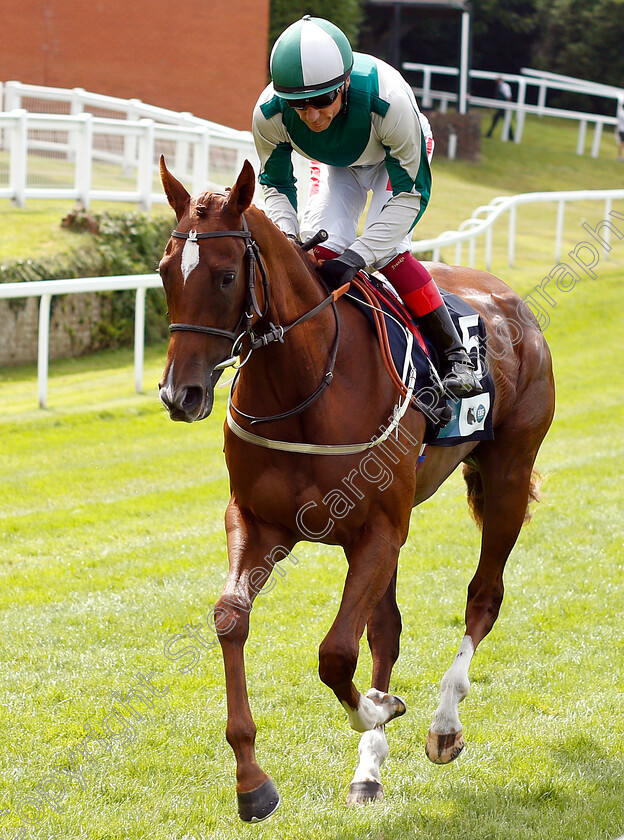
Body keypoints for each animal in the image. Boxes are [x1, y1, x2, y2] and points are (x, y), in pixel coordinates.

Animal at [158, 158, 552, 820]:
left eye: (226, 275)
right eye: (165, 272)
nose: (178, 394)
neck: (304, 386)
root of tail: (509, 300)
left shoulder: (379, 529)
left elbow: (335, 653)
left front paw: (379, 709)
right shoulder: (261, 521)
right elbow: (231, 617)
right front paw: (252, 780)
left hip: (506, 476)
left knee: (483, 597)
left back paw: (444, 722)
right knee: (386, 629)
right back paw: (368, 769)